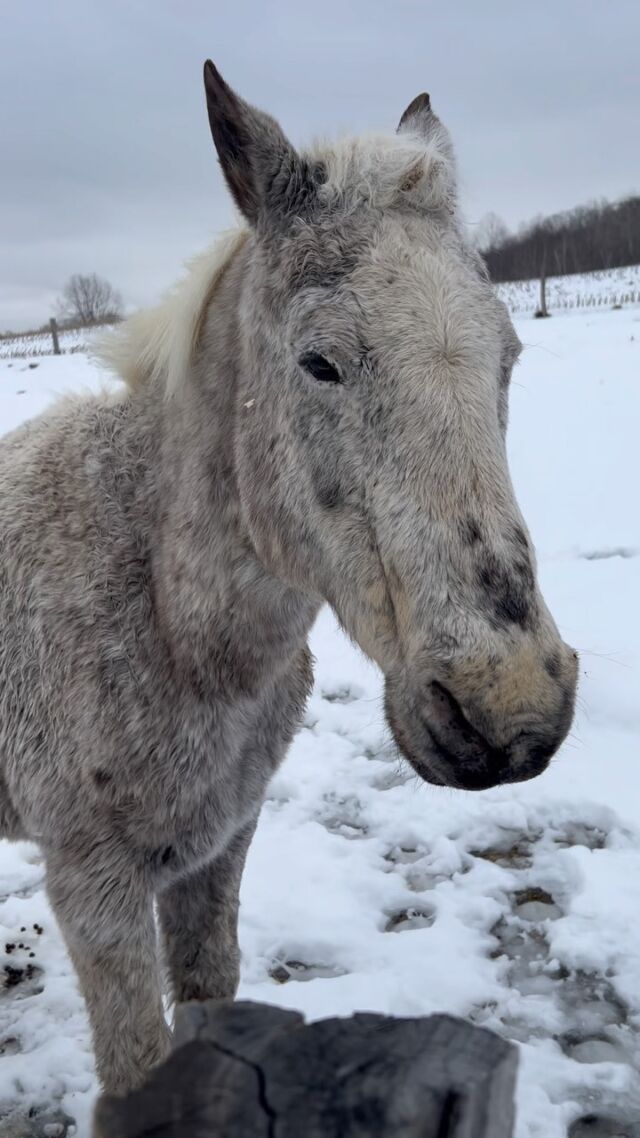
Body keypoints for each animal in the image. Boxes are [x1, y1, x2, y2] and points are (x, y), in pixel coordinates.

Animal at [0, 64, 576, 1092]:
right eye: (320, 363)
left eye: (507, 357)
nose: (508, 715)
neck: (167, 625)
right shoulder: (92, 887)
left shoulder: (219, 846)